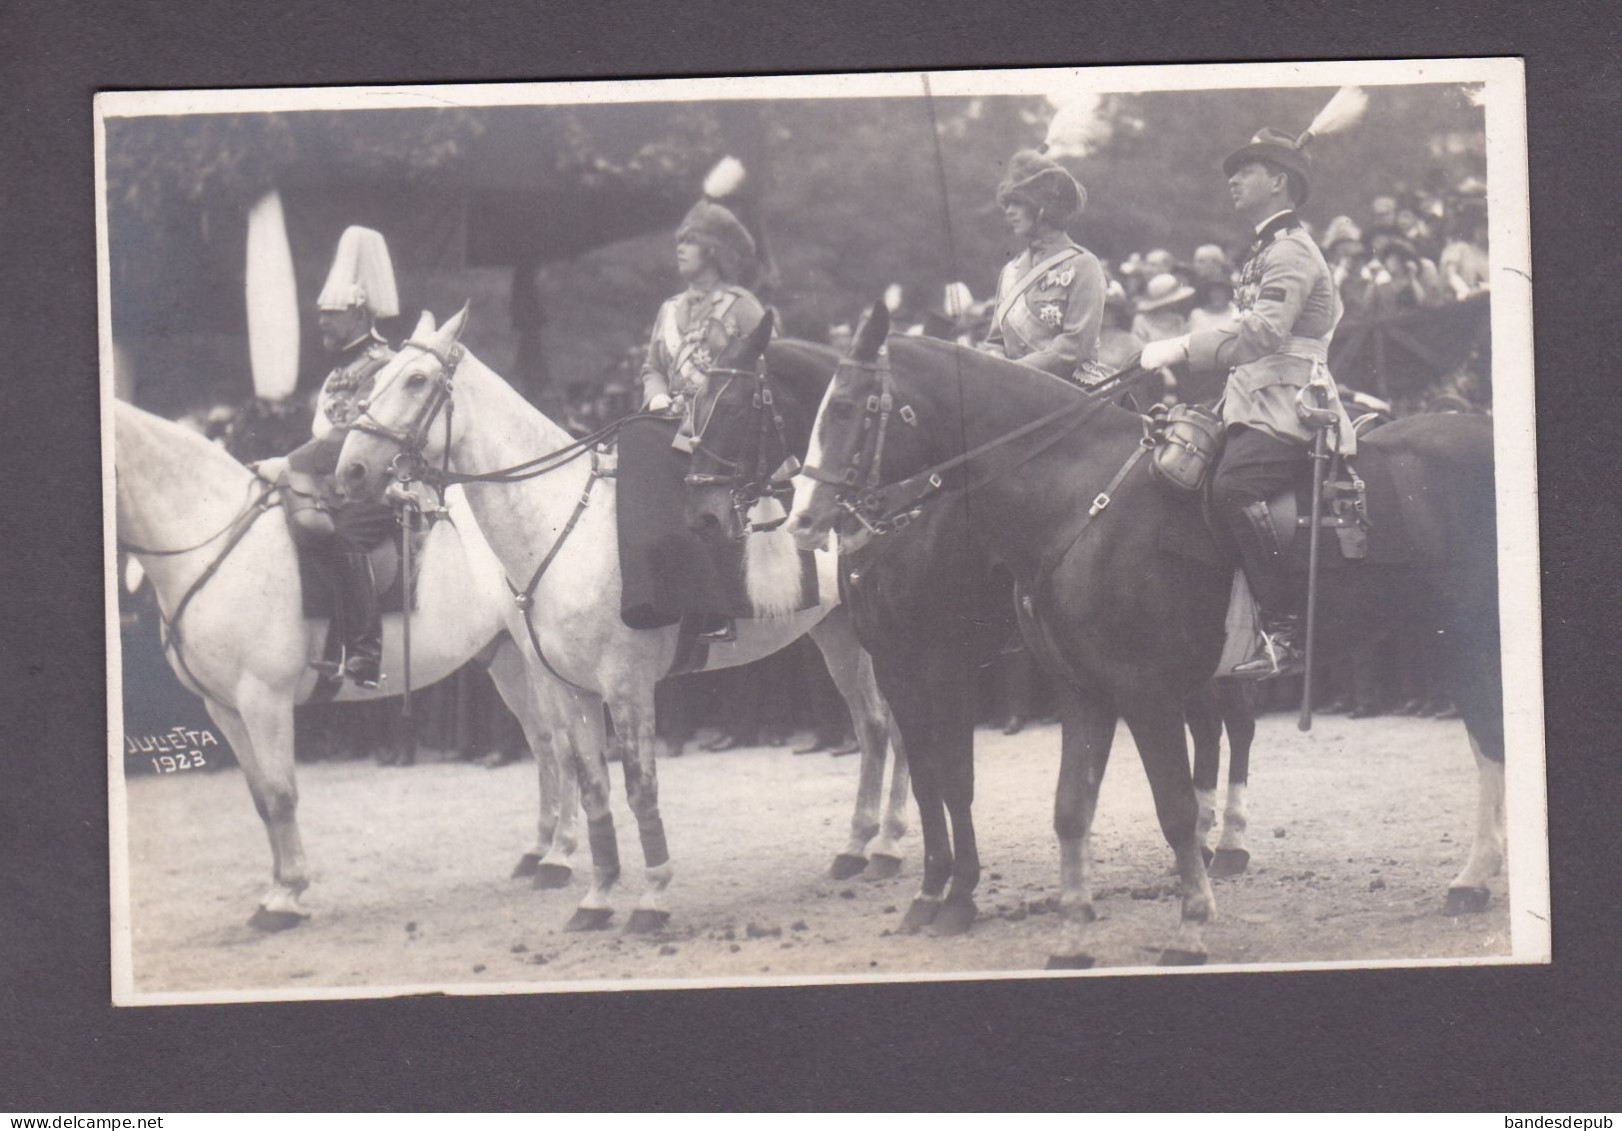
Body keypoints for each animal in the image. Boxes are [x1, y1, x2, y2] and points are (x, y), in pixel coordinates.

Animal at [109, 397, 564, 928]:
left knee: (566, 747)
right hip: (507, 661)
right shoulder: (223, 709)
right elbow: (261, 799)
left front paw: (286, 896)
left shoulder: (263, 698)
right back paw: (539, 849)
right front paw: (275, 889)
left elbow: (282, 794)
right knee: (544, 745)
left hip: (539, 659)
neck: (213, 543)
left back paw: (561, 858)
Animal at [335, 305, 908, 928]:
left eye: (416, 380)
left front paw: (653, 895)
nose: (350, 471)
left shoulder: (627, 687)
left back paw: (888, 843)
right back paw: (858, 845)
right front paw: (598, 895)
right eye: (378, 379)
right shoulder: (572, 690)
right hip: (838, 634)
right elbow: (591, 787)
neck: (562, 525)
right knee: (874, 726)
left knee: (898, 728)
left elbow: (640, 787)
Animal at [785, 305, 1505, 967]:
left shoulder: (1123, 690)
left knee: (1484, 741)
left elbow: (1166, 804)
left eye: (845, 407)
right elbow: (1066, 806)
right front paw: (1071, 935)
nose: (803, 518)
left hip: (1466, 642)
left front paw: (1188, 927)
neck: (1073, 500)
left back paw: (1458, 876)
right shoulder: (1075, 691)